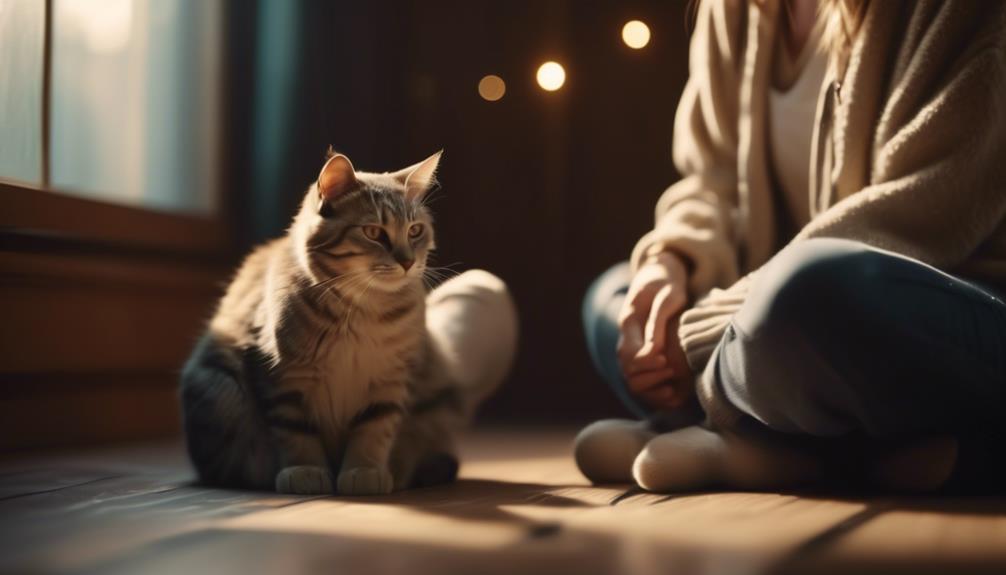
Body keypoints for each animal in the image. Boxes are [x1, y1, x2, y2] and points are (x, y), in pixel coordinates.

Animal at [179, 150, 519, 496]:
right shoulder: (285, 378)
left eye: (415, 231)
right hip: (219, 390)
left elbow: (374, 430)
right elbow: (297, 433)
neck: (362, 311)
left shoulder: (389, 380)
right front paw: (306, 471)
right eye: (374, 233)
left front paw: (364, 471)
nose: (408, 261)